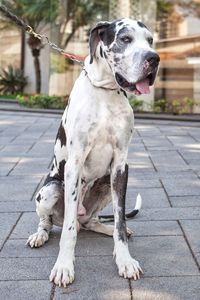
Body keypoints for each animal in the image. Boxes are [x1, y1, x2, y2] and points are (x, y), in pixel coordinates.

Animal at [27, 18, 160, 286]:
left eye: (150, 40)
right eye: (125, 39)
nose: (154, 59)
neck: (106, 91)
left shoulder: (121, 166)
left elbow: (120, 219)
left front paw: (124, 259)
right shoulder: (74, 165)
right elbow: (68, 231)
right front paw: (64, 266)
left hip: (106, 183)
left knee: (93, 221)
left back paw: (107, 229)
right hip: (49, 190)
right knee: (51, 222)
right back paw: (40, 235)